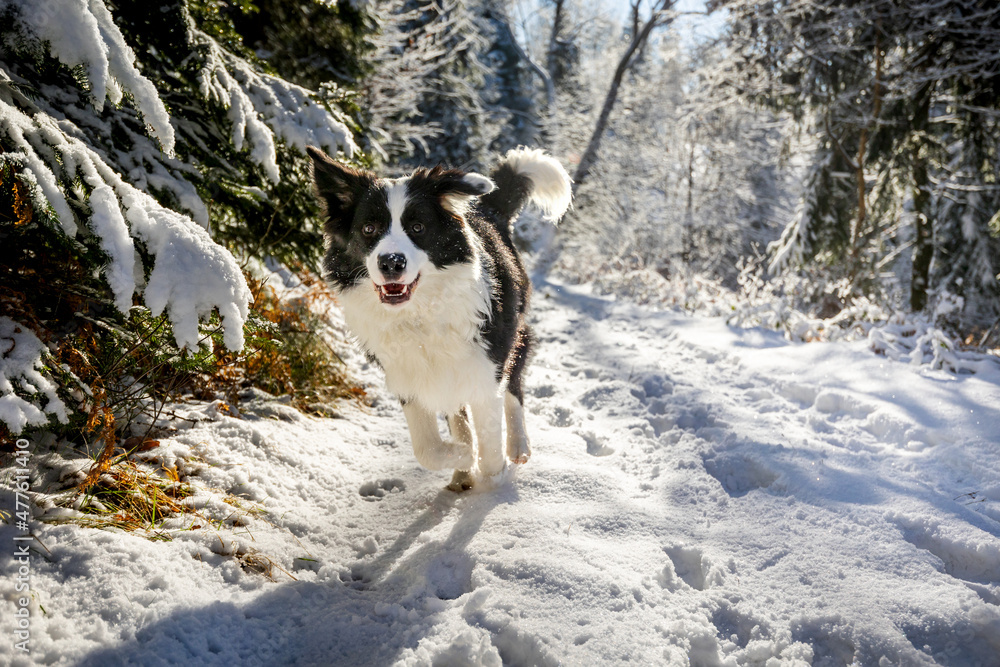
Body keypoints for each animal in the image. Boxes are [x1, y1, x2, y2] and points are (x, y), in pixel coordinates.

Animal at [306, 147, 572, 490]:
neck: (420, 314)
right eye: (369, 229)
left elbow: (489, 450)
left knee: (514, 381)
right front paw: (464, 456)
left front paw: (491, 476)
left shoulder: (485, 368)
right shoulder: (407, 374)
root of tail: (489, 210)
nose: (391, 262)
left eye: (418, 228)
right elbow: (428, 449)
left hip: (511, 335)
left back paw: (517, 445)